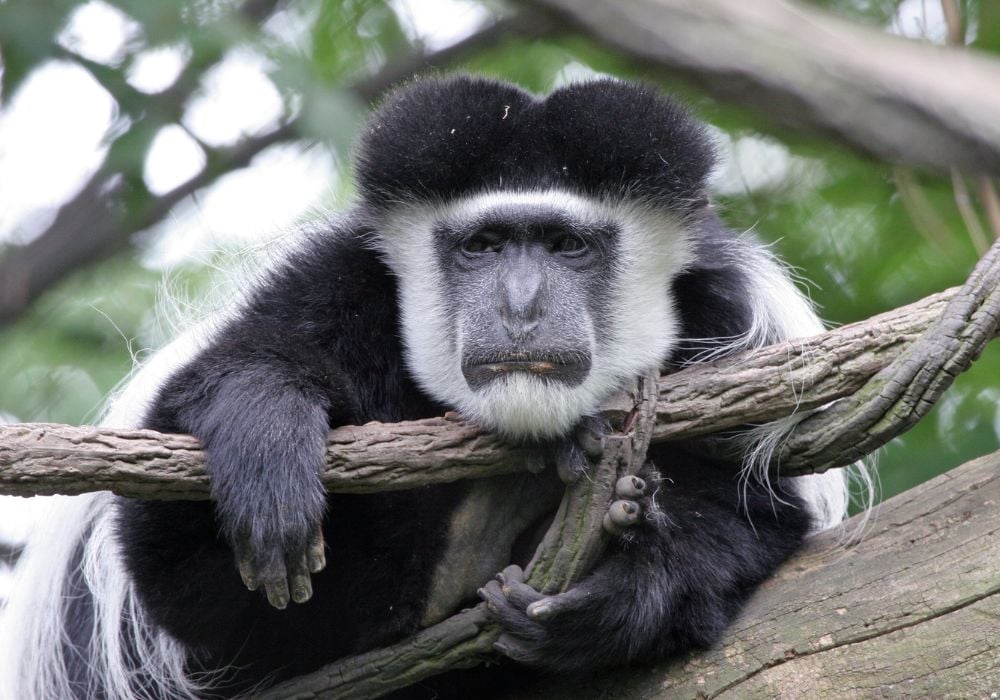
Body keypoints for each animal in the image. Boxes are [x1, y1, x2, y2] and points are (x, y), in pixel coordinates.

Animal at [3, 74, 856, 696]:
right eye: (482, 246)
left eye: (566, 246)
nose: (520, 308)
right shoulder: (328, 286)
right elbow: (193, 574)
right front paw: (265, 437)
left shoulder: (731, 320)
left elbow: (752, 516)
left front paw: (615, 600)